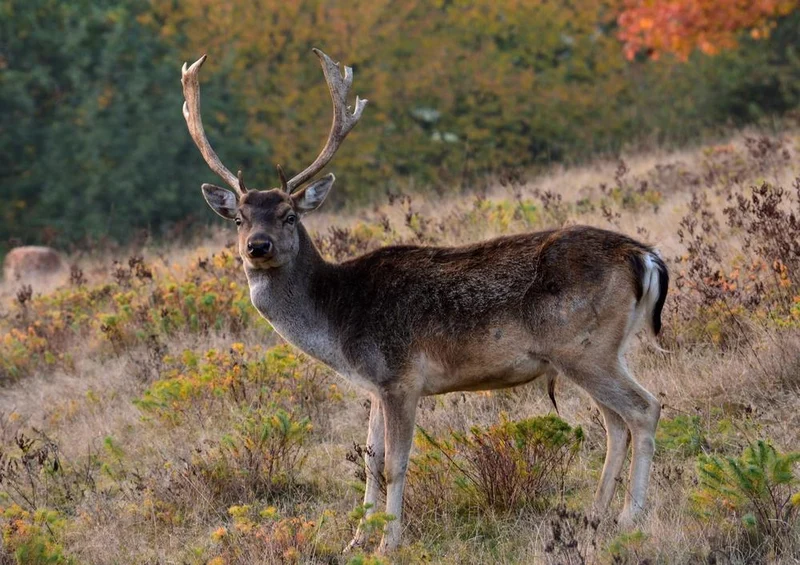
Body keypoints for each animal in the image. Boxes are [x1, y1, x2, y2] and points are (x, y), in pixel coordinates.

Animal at [181, 48, 668, 554]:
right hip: (599, 351)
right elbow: (370, 461)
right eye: (238, 218)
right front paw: (356, 540)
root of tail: (645, 256)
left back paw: (631, 517)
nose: (257, 247)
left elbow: (394, 464)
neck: (337, 323)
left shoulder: (401, 376)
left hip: (584, 347)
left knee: (644, 409)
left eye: (289, 215)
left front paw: (387, 542)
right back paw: (595, 517)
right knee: (616, 423)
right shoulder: (375, 384)